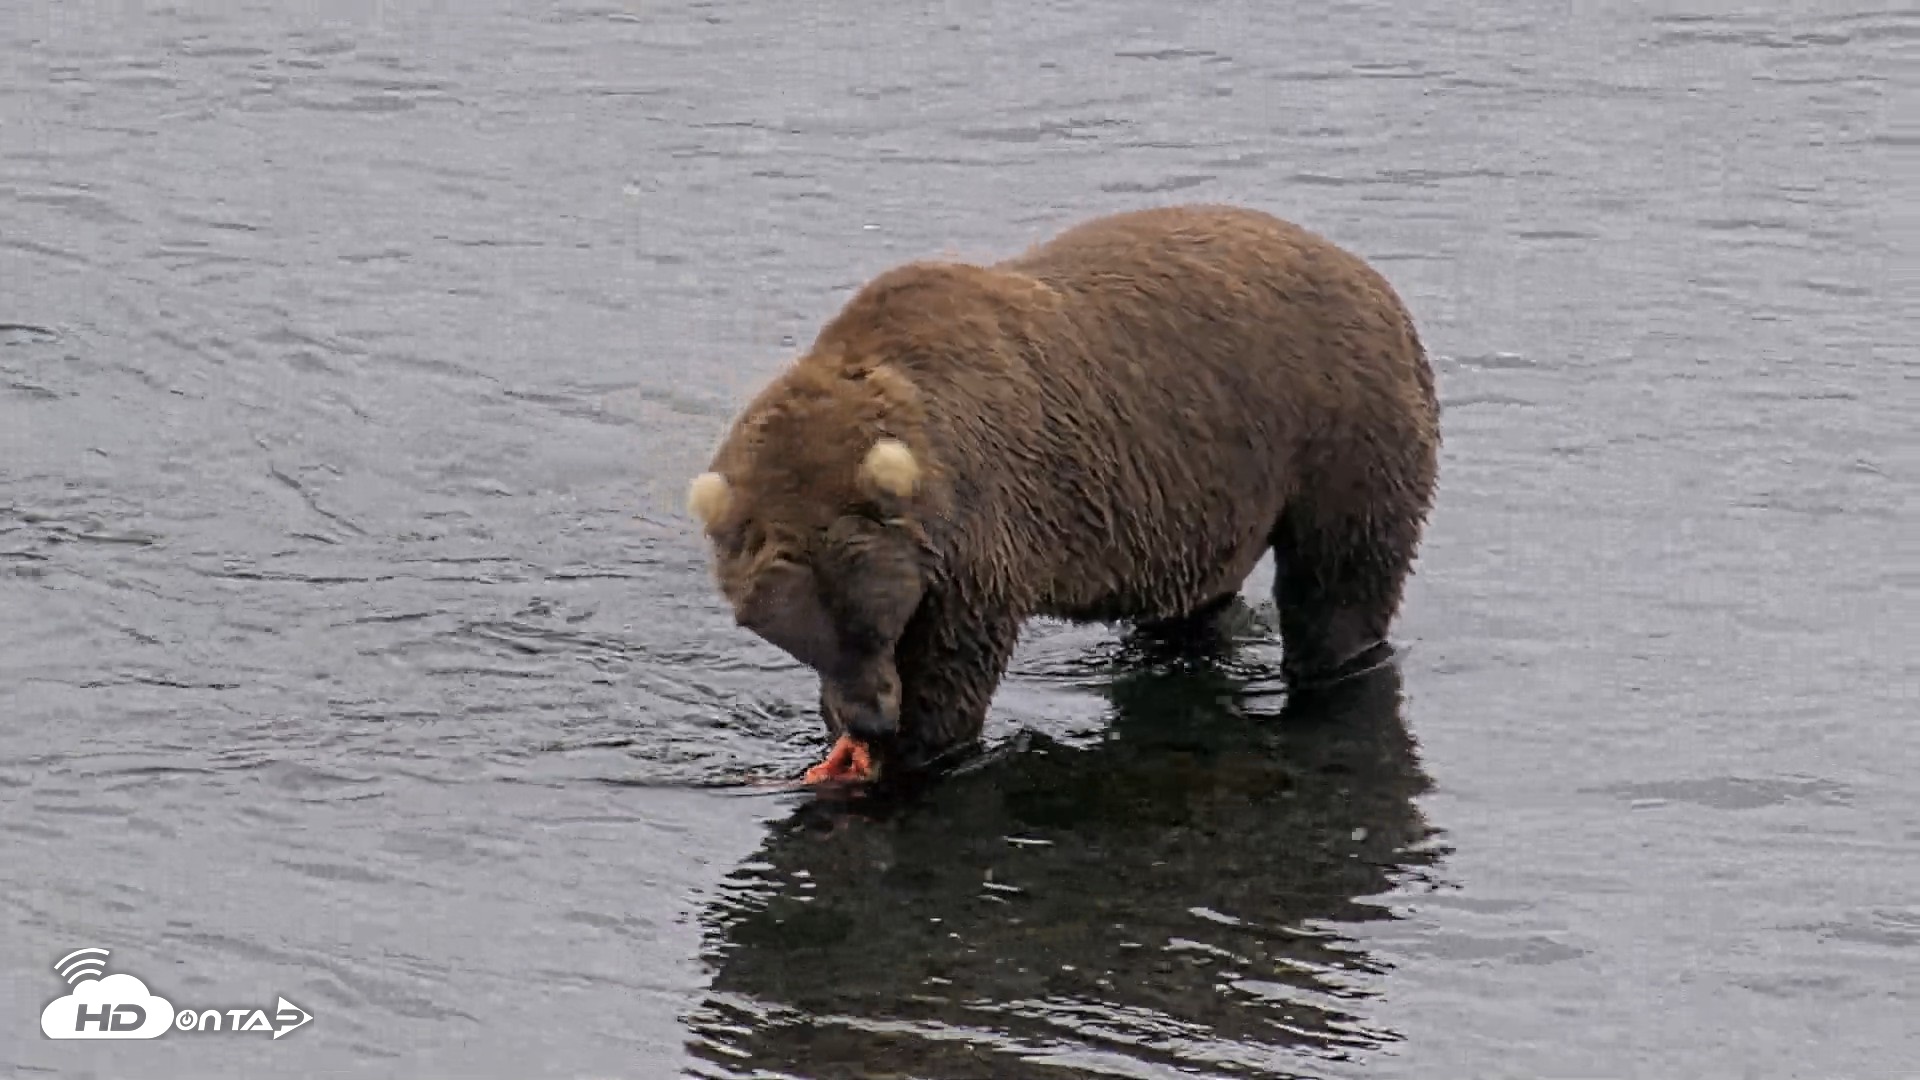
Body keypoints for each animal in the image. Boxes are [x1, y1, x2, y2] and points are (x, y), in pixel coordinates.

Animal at [686, 204, 1439, 784]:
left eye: (875, 619)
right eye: (802, 638)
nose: (872, 721)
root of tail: (1375, 281)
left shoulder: (980, 529)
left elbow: (956, 661)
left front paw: (916, 751)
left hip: (1338, 426)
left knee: (1340, 579)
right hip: (1211, 495)